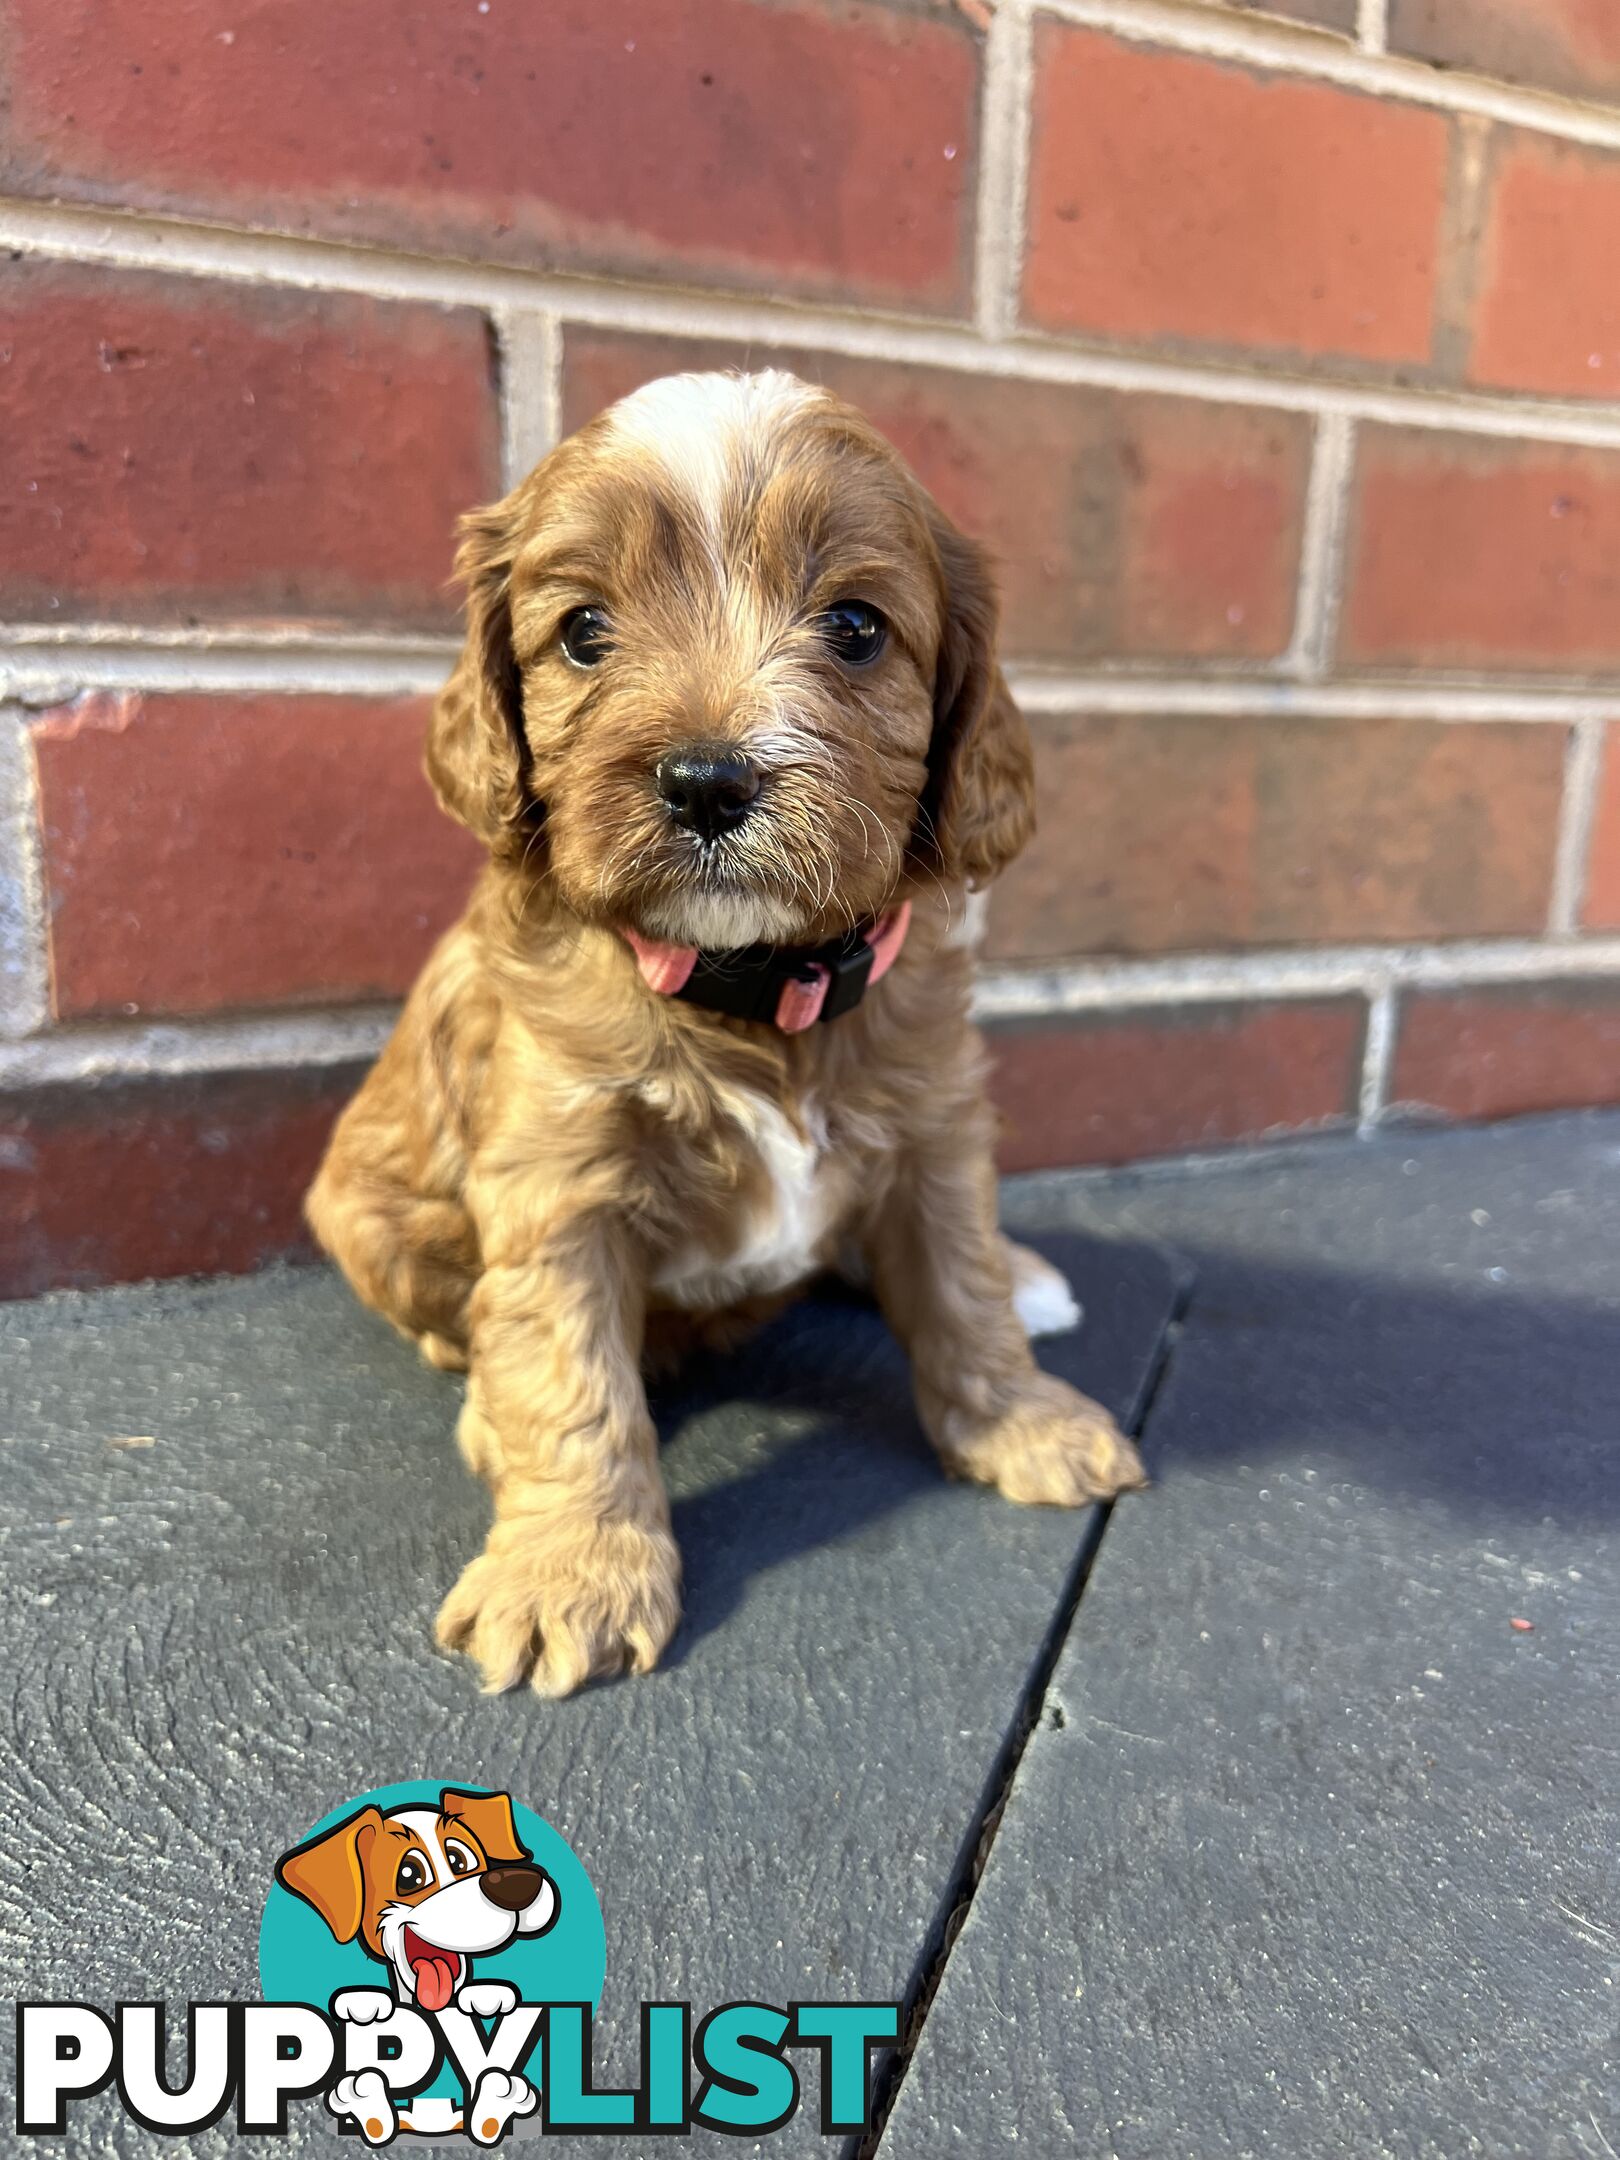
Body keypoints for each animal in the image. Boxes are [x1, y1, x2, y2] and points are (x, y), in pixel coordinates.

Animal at [311, 362, 1149, 1693]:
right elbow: (568, 1376)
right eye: (582, 632)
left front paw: (1026, 1424)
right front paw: (571, 1572)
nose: (708, 781)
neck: (757, 985)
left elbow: (957, 1279)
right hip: (364, 1211)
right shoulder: (554, 1182)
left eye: (855, 626)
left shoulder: (938, 1126)